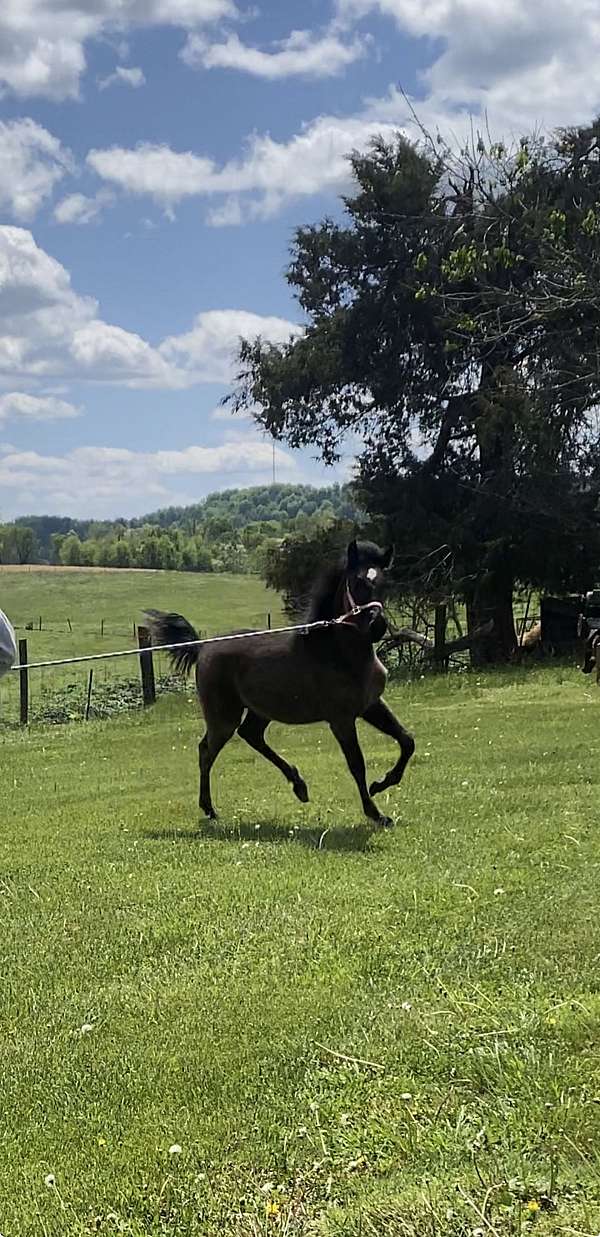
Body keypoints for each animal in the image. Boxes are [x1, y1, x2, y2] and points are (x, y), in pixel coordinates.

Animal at [145, 540, 415, 828]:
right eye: (356, 582)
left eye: (385, 582)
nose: (378, 626)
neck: (337, 652)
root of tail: (202, 647)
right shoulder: (341, 719)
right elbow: (357, 763)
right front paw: (376, 813)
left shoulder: (371, 705)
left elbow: (407, 740)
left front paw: (382, 783)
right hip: (223, 717)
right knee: (206, 751)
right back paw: (210, 809)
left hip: (260, 711)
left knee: (250, 735)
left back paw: (299, 786)